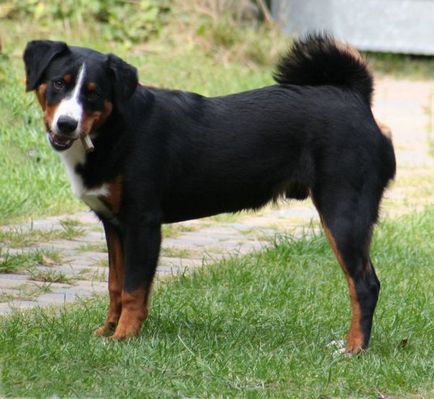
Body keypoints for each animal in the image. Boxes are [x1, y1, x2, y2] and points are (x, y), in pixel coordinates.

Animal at [24, 33, 396, 354]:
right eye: (59, 83)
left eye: (94, 92)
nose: (67, 124)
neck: (114, 130)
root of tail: (355, 98)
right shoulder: (114, 224)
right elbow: (115, 285)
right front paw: (107, 330)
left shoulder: (142, 223)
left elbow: (133, 289)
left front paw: (124, 337)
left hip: (343, 213)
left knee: (364, 285)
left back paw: (354, 348)